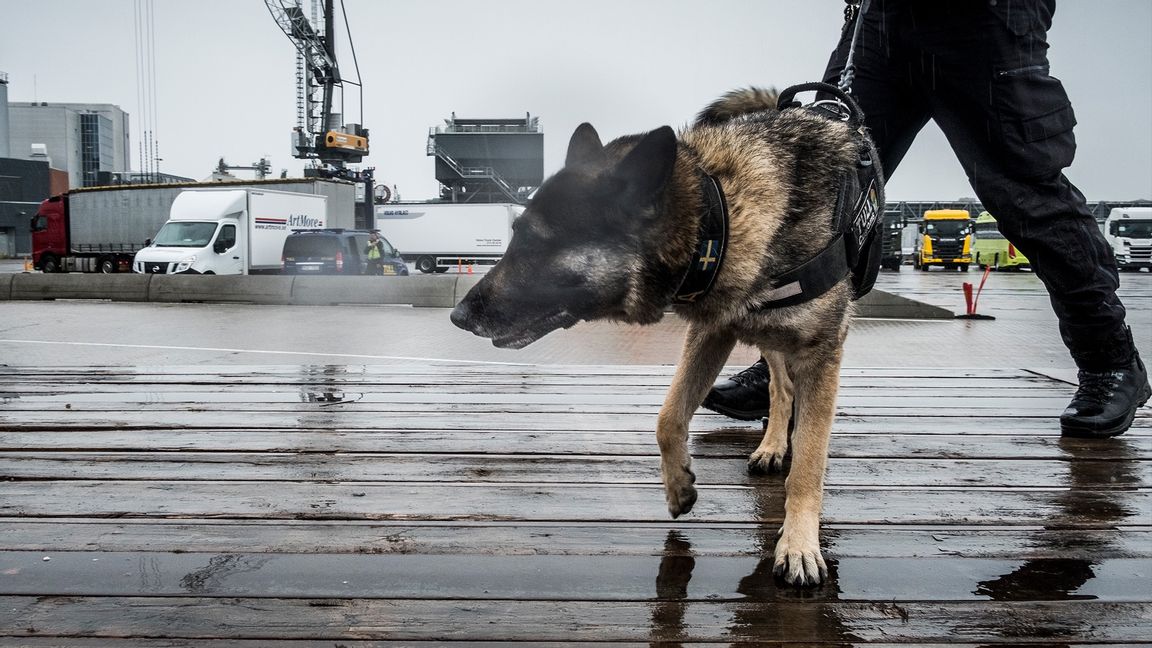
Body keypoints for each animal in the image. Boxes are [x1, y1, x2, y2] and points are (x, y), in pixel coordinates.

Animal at [449, 87, 880, 585]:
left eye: (534, 241)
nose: (457, 314)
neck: (720, 215)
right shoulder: (712, 332)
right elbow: (668, 415)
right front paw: (678, 486)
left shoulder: (819, 352)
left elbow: (809, 463)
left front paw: (798, 545)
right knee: (779, 386)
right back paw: (772, 443)